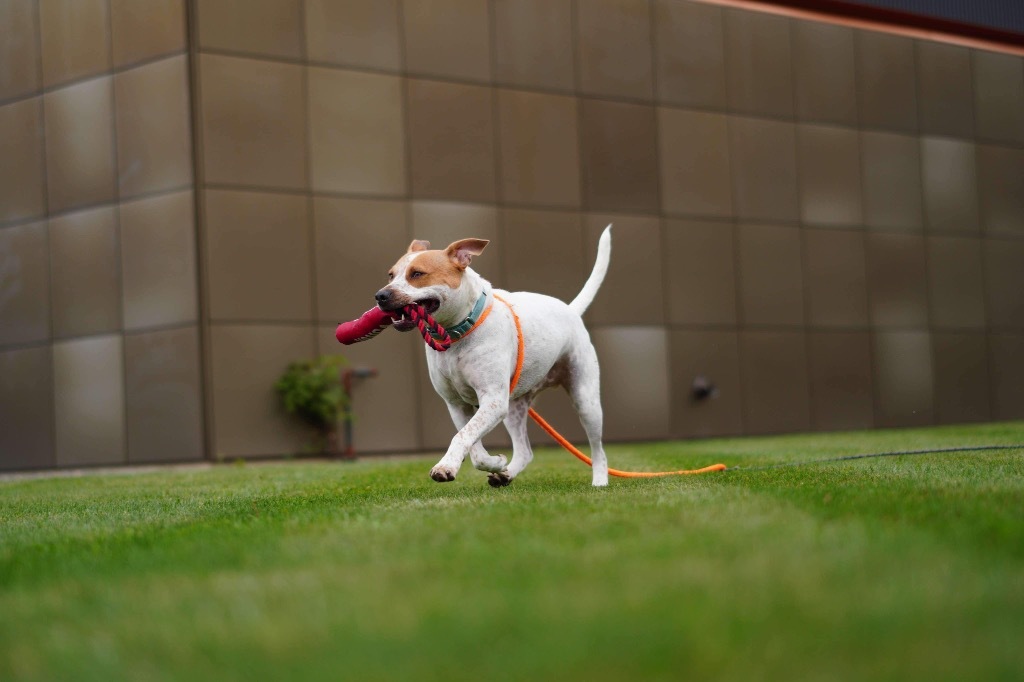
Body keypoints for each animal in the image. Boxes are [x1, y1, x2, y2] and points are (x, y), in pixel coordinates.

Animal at [376, 225, 614, 485]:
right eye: (390, 275)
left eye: (417, 274)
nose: (381, 296)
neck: (457, 333)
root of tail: (570, 310)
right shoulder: (458, 405)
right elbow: (473, 447)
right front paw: (496, 463)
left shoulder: (492, 400)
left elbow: (462, 437)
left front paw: (445, 466)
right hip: (514, 407)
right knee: (525, 450)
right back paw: (506, 473)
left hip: (585, 400)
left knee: (598, 448)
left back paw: (599, 481)